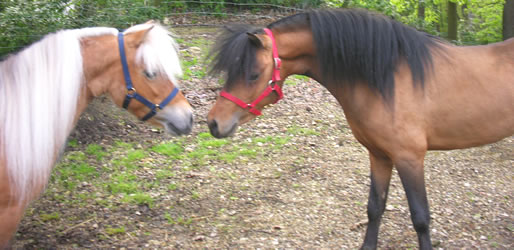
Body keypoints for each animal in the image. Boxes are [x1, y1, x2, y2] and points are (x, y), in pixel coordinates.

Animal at [205, 8, 512, 250]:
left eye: (253, 74)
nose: (214, 123)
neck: (387, 79)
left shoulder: (410, 158)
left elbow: (420, 218)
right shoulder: (379, 155)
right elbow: (375, 207)